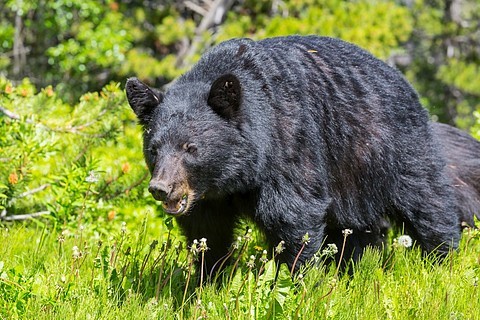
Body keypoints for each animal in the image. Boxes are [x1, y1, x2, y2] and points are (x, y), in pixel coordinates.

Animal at [126, 37, 462, 272]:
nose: (161, 188)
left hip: (393, 147)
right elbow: (208, 235)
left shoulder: (290, 145)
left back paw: (442, 262)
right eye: (154, 149)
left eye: (191, 148)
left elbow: (293, 217)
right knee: (355, 230)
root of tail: (402, 78)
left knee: (426, 200)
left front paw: (294, 280)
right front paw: (205, 281)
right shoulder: (208, 198)